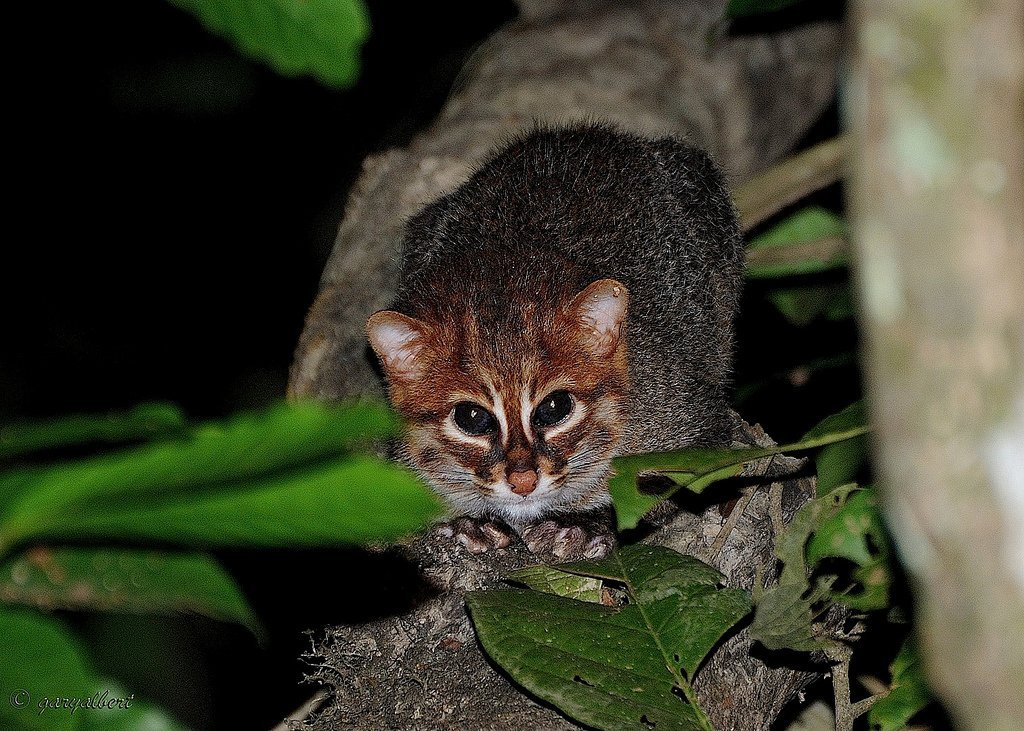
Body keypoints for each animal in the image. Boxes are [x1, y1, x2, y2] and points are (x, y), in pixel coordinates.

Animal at [368, 123, 745, 556]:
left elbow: (678, 480)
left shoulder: (685, 418)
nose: (523, 481)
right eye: (472, 418)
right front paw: (473, 523)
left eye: (555, 407)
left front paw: (585, 523)